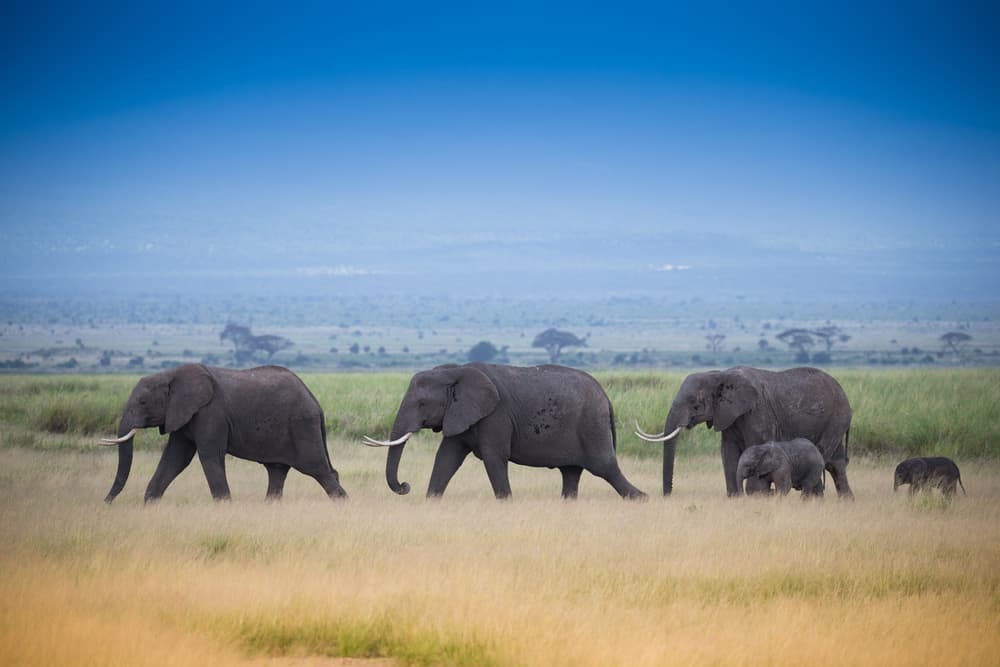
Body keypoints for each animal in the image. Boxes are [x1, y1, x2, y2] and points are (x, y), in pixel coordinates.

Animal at [98, 366, 348, 500]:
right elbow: (175, 458)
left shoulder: (211, 413)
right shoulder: (183, 415)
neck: (170, 374)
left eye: (143, 402)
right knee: (277, 472)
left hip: (302, 425)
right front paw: (149, 503)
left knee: (320, 470)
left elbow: (209, 456)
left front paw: (224, 507)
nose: (106, 502)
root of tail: (316, 402)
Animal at [364, 362, 644, 498]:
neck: (455, 371)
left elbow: (493, 457)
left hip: (591, 423)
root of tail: (606, 396)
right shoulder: (461, 413)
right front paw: (431, 500)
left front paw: (505, 502)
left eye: (422, 404)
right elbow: (446, 458)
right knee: (571, 473)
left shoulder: (495, 415)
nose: (404, 486)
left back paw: (643, 498)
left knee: (605, 468)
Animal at [632, 366, 852, 500]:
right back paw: (845, 501)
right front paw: (735, 498)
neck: (720, 374)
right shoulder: (728, 416)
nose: (667, 496)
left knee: (825, 455)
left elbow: (756, 446)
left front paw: (756, 495)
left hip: (835, 418)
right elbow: (727, 452)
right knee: (836, 464)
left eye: (696, 405)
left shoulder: (758, 412)